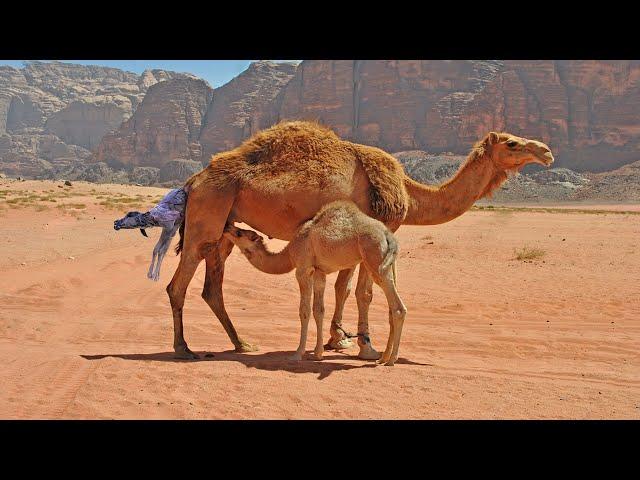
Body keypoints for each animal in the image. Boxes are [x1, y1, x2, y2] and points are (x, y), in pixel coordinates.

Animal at [224, 201, 404, 366]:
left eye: (239, 233)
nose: (226, 227)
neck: (290, 253)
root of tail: (388, 235)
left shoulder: (303, 269)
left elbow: (304, 311)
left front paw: (298, 353)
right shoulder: (319, 272)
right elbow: (319, 310)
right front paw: (318, 353)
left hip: (375, 259)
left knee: (398, 308)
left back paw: (391, 360)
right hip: (387, 264)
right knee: (391, 308)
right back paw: (383, 357)